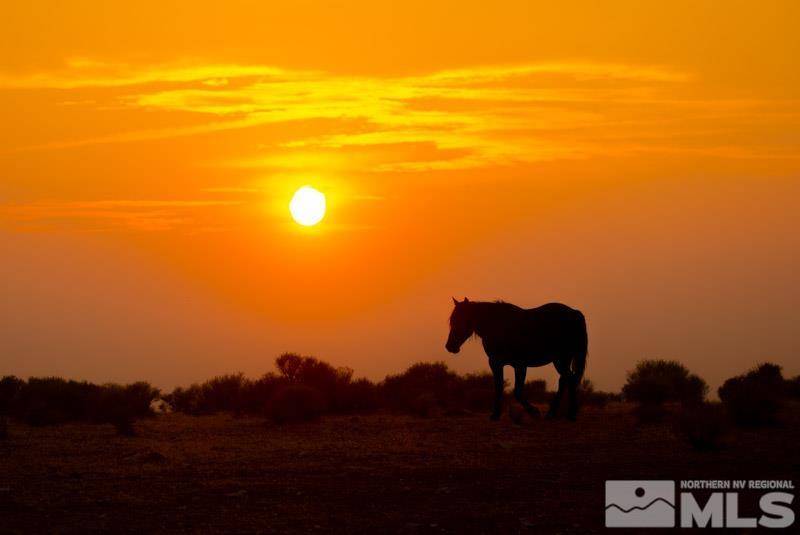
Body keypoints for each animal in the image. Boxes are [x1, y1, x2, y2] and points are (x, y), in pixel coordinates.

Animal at [444, 300, 588, 420]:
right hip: (559, 360)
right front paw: (495, 414)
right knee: (566, 380)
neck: (498, 326)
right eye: (452, 320)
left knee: (568, 379)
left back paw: (565, 414)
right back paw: (559, 414)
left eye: (460, 319)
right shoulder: (497, 363)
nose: (450, 346)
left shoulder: (519, 365)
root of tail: (575, 313)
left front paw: (534, 411)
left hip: (562, 359)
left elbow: (517, 391)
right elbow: (499, 387)